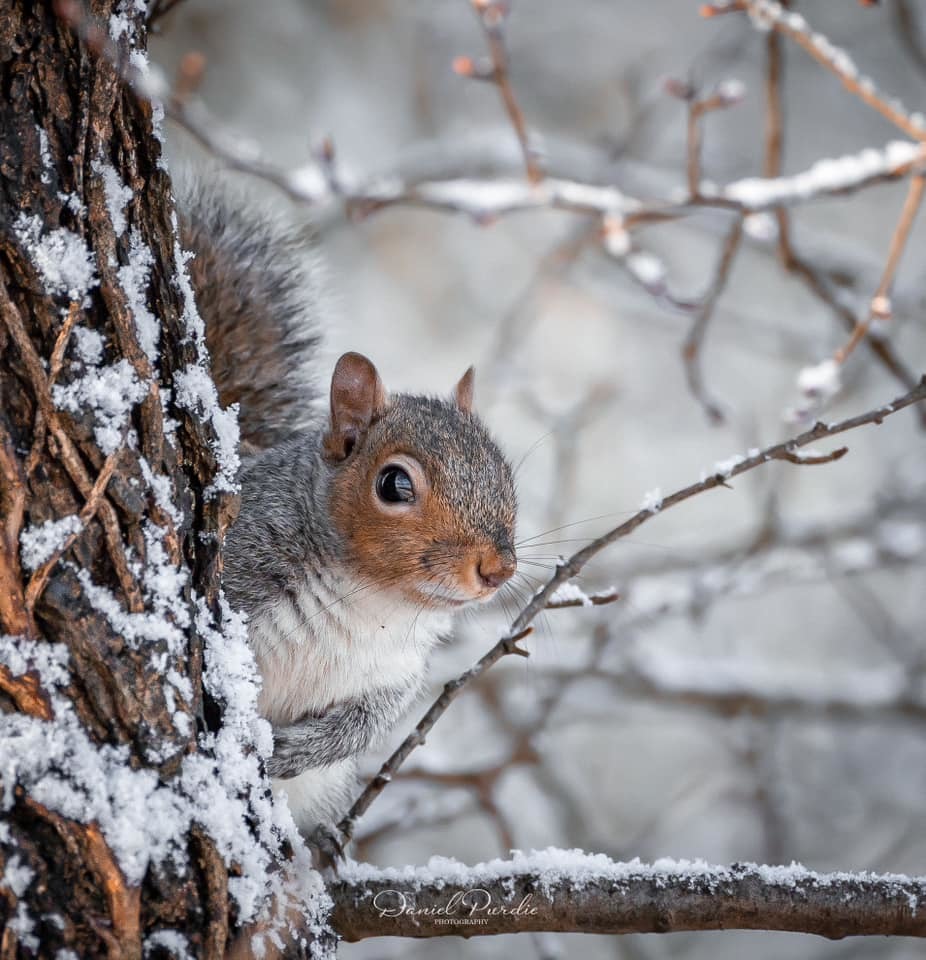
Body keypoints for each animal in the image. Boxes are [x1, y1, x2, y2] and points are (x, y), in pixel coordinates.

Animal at [178, 182, 520, 840]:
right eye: (394, 483)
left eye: (507, 475)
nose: (498, 570)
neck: (368, 600)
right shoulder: (237, 574)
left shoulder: (392, 675)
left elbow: (359, 729)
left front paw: (291, 752)